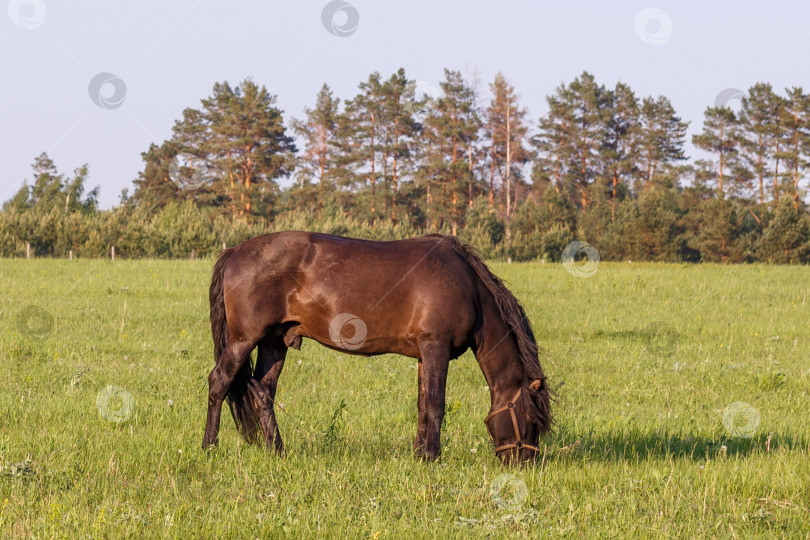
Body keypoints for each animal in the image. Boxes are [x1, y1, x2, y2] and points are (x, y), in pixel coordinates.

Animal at [202, 230, 552, 462]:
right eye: (533, 421)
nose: (526, 463)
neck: (468, 287)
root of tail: (235, 251)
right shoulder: (436, 349)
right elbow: (436, 405)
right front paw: (432, 457)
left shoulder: (425, 355)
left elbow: (423, 405)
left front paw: (419, 454)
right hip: (244, 340)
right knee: (219, 382)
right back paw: (209, 446)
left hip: (276, 342)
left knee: (263, 390)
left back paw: (277, 450)